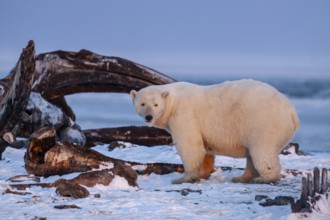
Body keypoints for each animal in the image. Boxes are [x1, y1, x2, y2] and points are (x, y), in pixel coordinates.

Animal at [130, 79, 300, 184]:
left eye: (156, 104)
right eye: (142, 103)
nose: (148, 117)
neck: (173, 100)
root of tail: (291, 110)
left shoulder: (184, 115)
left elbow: (190, 145)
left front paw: (182, 178)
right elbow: (204, 149)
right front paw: (203, 173)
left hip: (263, 123)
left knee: (262, 150)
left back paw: (263, 178)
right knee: (252, 154)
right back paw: (241, 178)